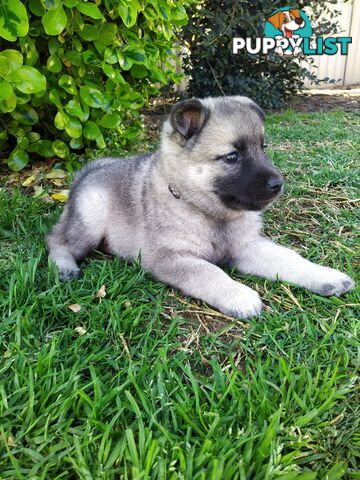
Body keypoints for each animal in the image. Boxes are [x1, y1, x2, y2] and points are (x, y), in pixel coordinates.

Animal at [47, 95, 354, 316]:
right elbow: (209, 272)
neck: (205, 210)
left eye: (262, 147)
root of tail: (88, 173)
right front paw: (239, 295)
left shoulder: (245, 246)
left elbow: (288, 258)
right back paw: (65, 267)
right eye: (232, 156)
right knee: (56, 240)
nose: (278, 184)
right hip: (91, 219)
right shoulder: (170, 257)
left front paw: (324, 276)